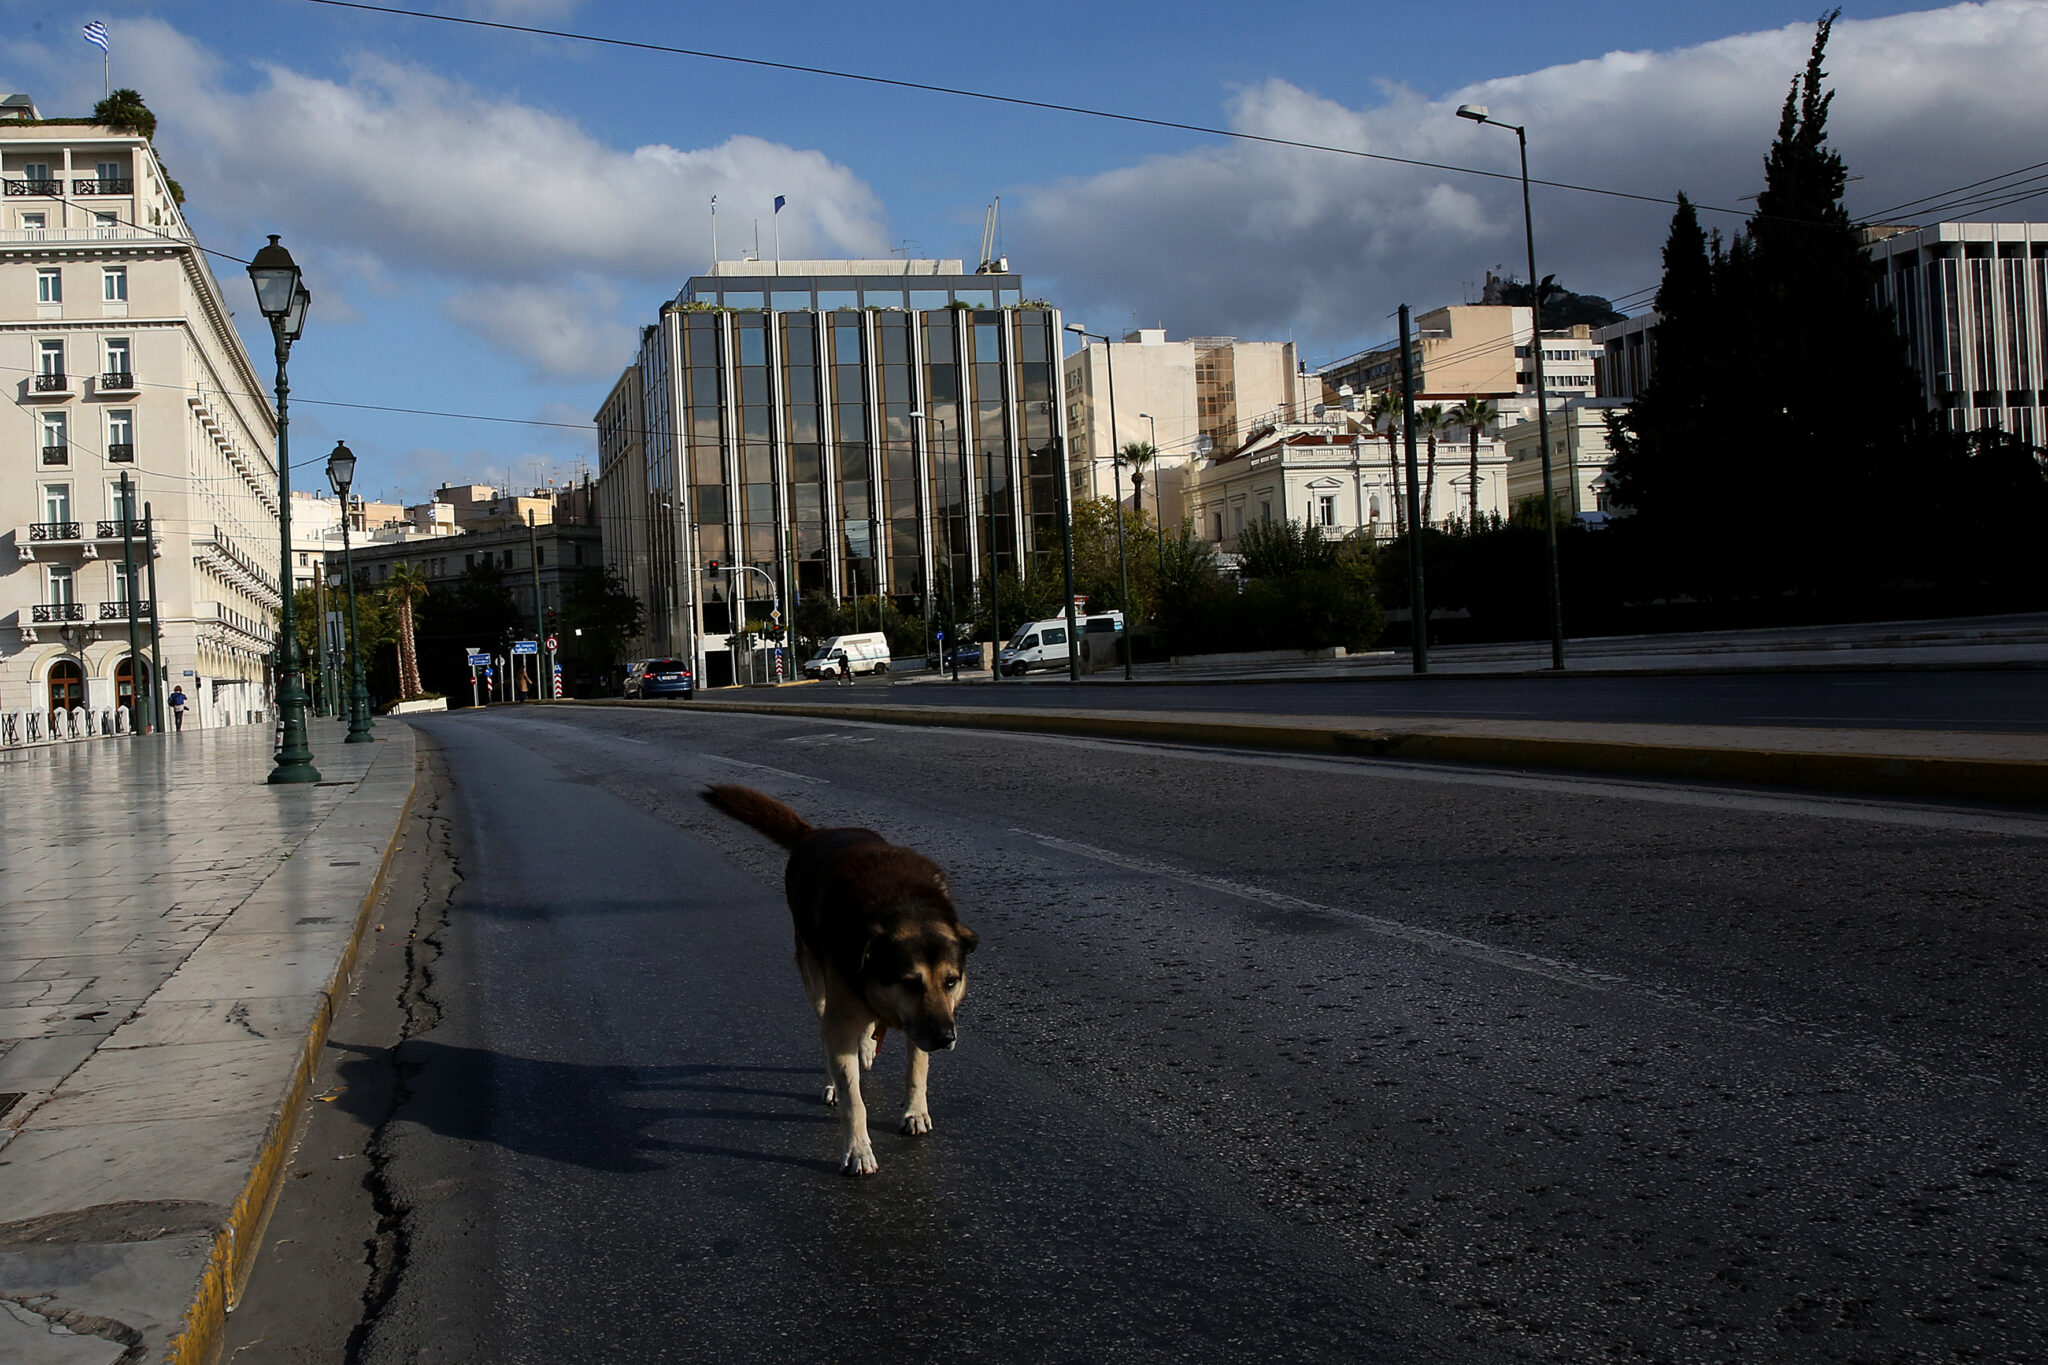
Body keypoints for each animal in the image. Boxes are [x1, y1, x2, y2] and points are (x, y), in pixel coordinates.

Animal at [700, 785, 978, 1178]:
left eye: (952, 981)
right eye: (910, 982)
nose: (945, 1038)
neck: (902, 908)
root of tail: (816, 833)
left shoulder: (920, 1021)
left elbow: (916, 1068)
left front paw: (915, 1110)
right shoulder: (851, 1014)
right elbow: (853, 1100)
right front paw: (858, 1148)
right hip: (816, 984)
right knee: (829, 1037)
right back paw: (838, 1074)